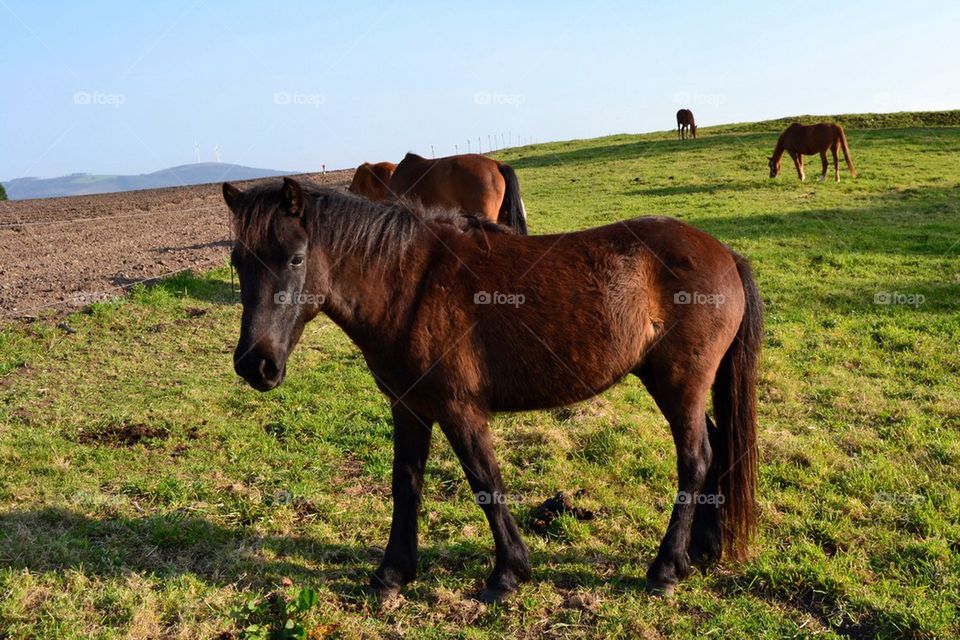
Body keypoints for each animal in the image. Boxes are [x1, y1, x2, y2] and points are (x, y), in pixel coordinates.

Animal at [222, 177, 761, 603]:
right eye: (237, 260)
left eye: (295, 258)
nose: (255, 364)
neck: (410, 285)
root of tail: (726, 255)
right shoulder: (409, 408)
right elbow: (406, 483)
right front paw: (393, 573)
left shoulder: (459, 410)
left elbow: (485, 482)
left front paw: (508, 574)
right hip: (675, 385)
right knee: (716, 448)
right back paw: (701, 550)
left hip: (679, 384)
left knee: (695, 458)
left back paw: (666, 568)